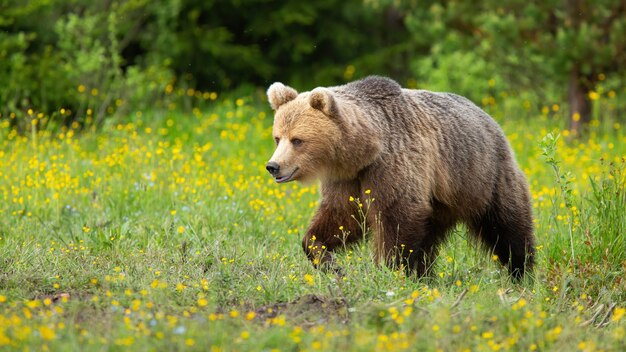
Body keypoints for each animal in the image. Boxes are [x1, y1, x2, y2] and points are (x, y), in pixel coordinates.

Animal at [264, 75, 532, 280]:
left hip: (484, 176)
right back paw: (426, 276)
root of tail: (489, 118)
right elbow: (341, 217)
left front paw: (390, 269)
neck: (364, 151)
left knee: (507, 225)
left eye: (297, 140)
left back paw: (521, 272)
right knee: (429, 238)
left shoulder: (392, 164)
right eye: (278, 137)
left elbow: (397, 215)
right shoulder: (347, 179)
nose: (273, 166)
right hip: (441, 202)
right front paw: (329, 261)